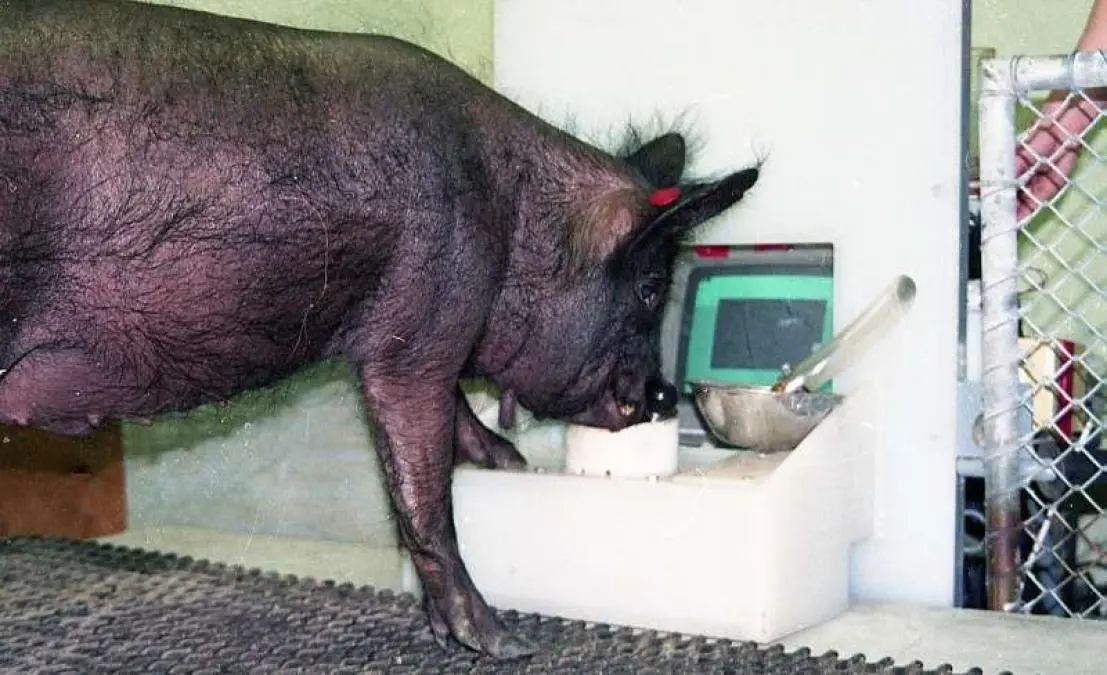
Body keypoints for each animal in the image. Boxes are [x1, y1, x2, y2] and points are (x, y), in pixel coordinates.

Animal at [0, 0, 760, 660]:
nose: (663, 394)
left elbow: (448, 423)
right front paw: (506, 644)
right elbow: (425, 489)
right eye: (650, 287)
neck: (513, 219)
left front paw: (509, 462)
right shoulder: (421, 320)